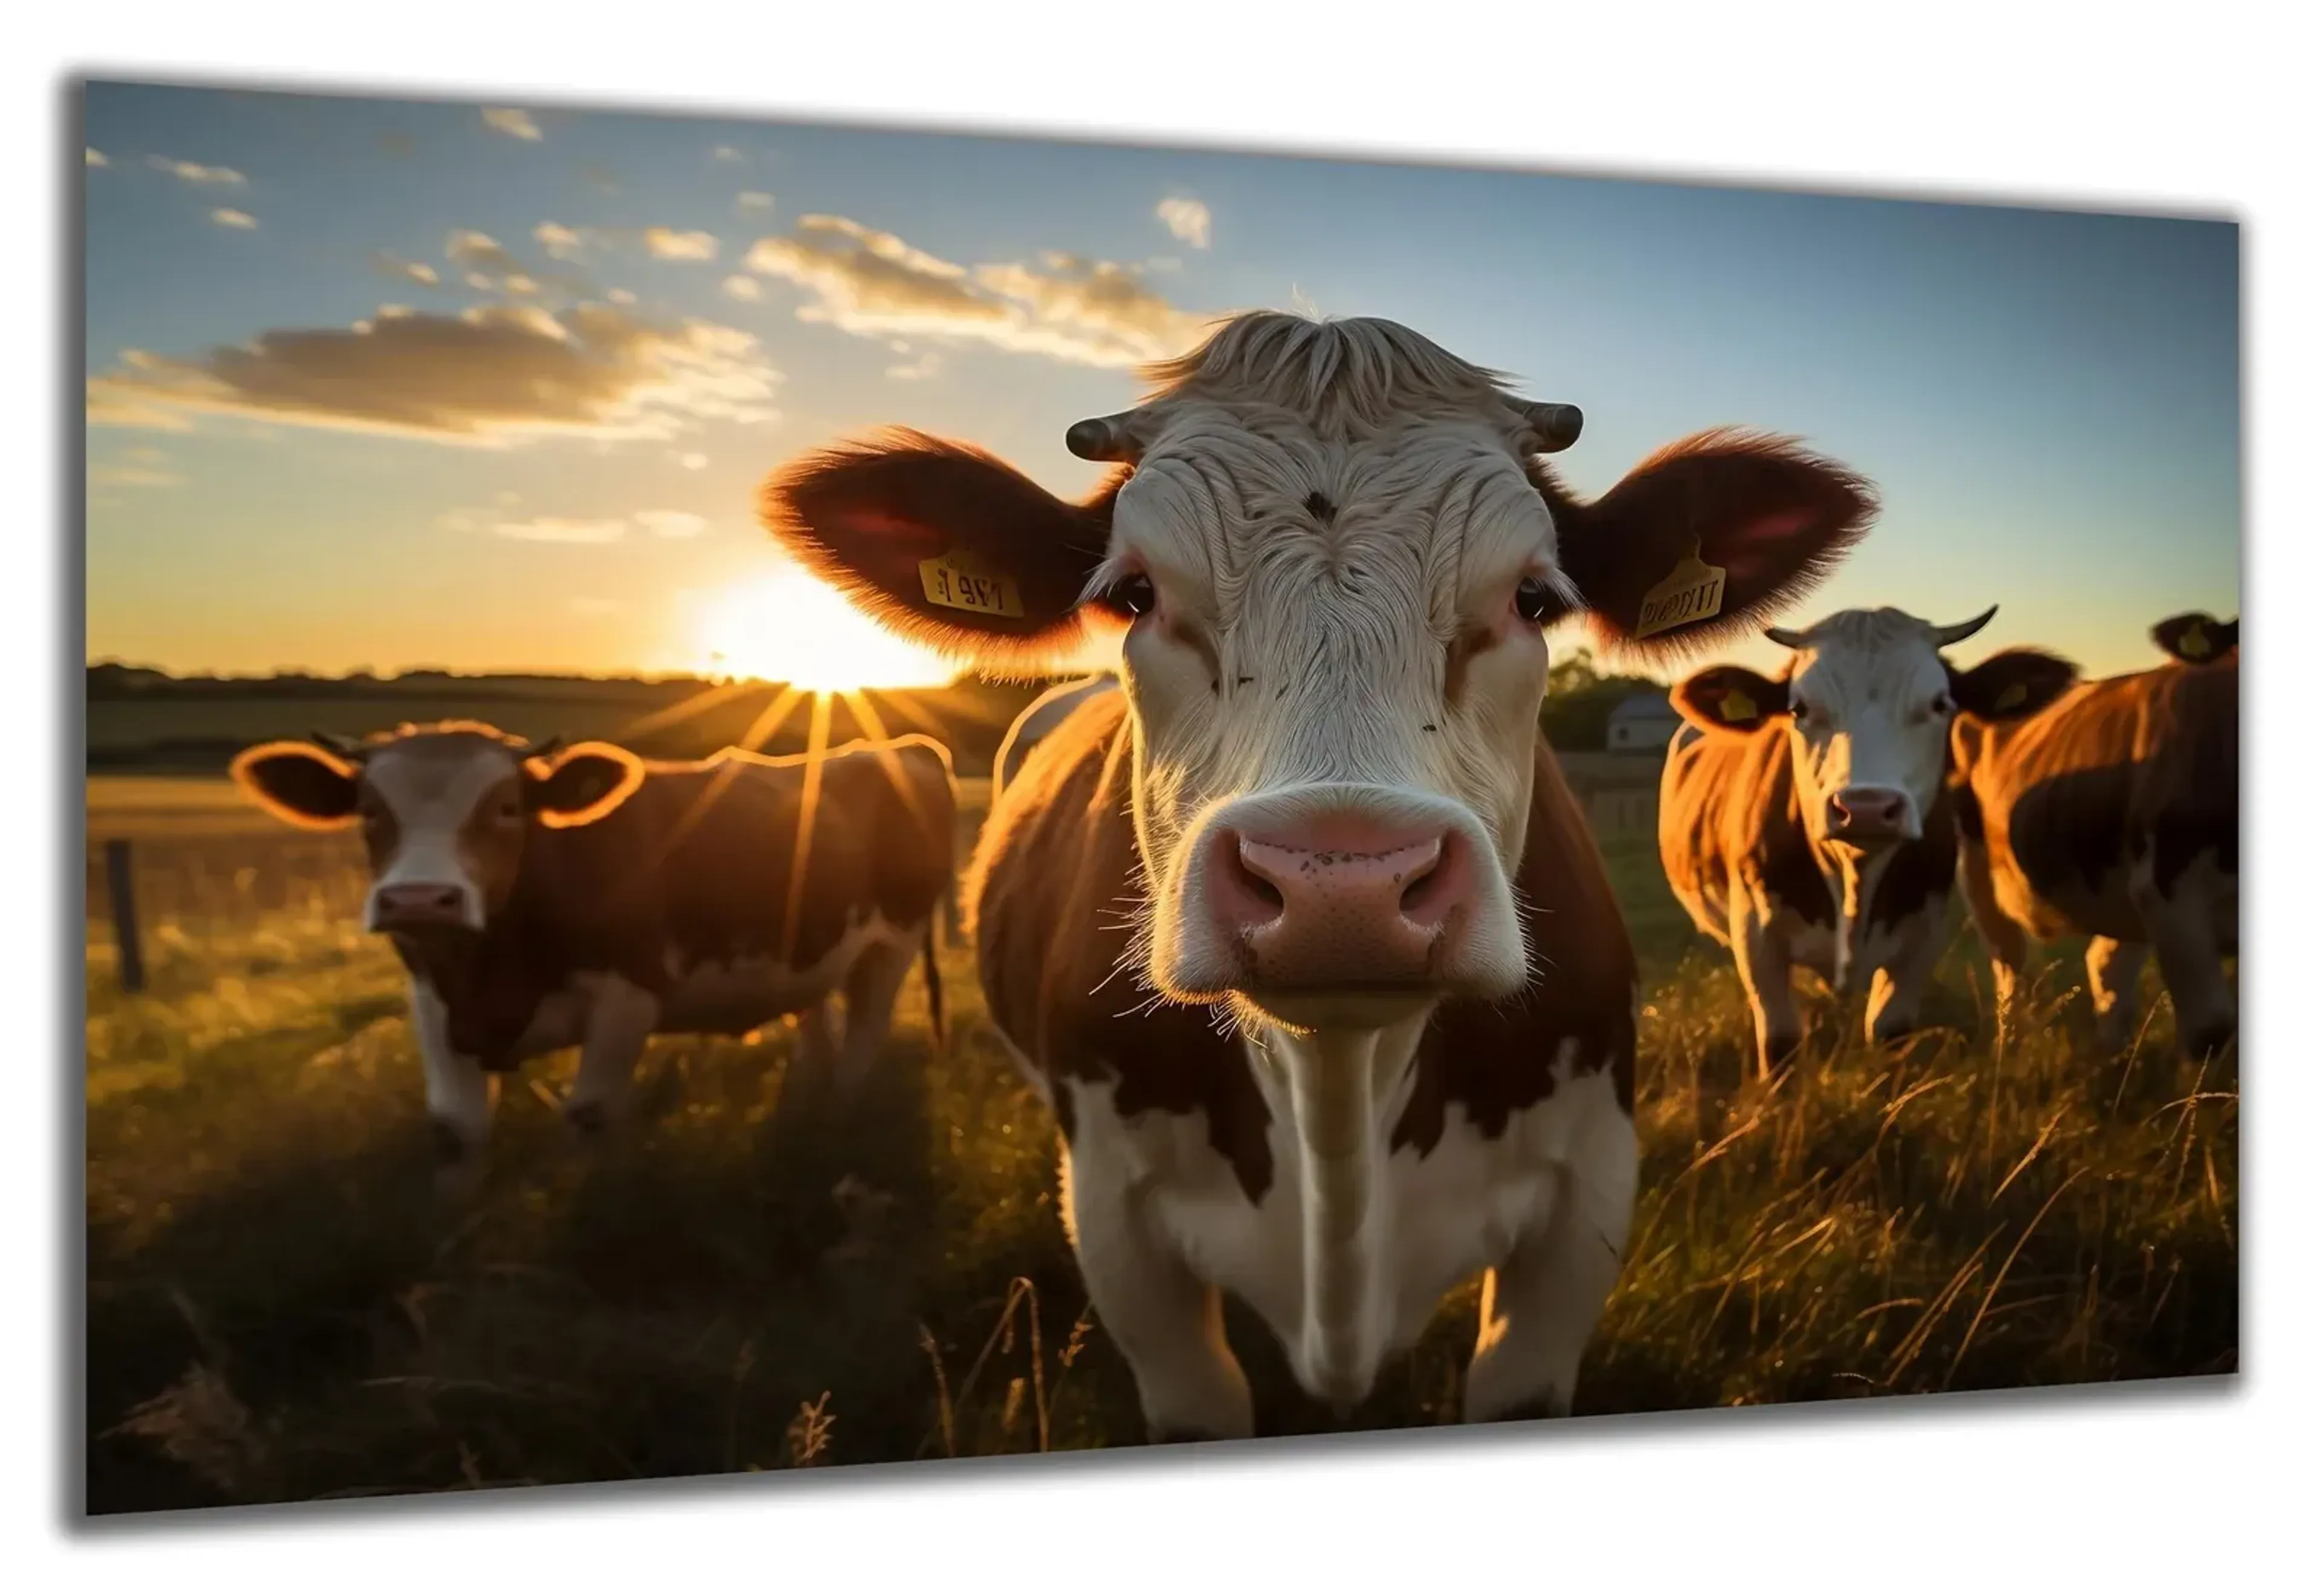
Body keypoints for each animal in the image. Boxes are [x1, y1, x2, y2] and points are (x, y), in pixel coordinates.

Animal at [228, 721, 955, 1184]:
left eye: (508, 807)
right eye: (370, 810)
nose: (419, 898)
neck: (490, 970)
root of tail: (899, 747)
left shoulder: (629, 991)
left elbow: (591, 1115)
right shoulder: (433, 999)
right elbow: (455, 1129)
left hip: (893, 943)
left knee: (862, 1040)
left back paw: (840, 1122)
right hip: (806, 954)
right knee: (817, 1030)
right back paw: (800, 1121)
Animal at [1658, 607, 2080, 1077]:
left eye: (1939, 704)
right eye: (1798, 708)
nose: (1866, 807)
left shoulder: (1922, 938)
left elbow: (1889, 1032)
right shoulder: (1756, 937)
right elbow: (1782, 1043)